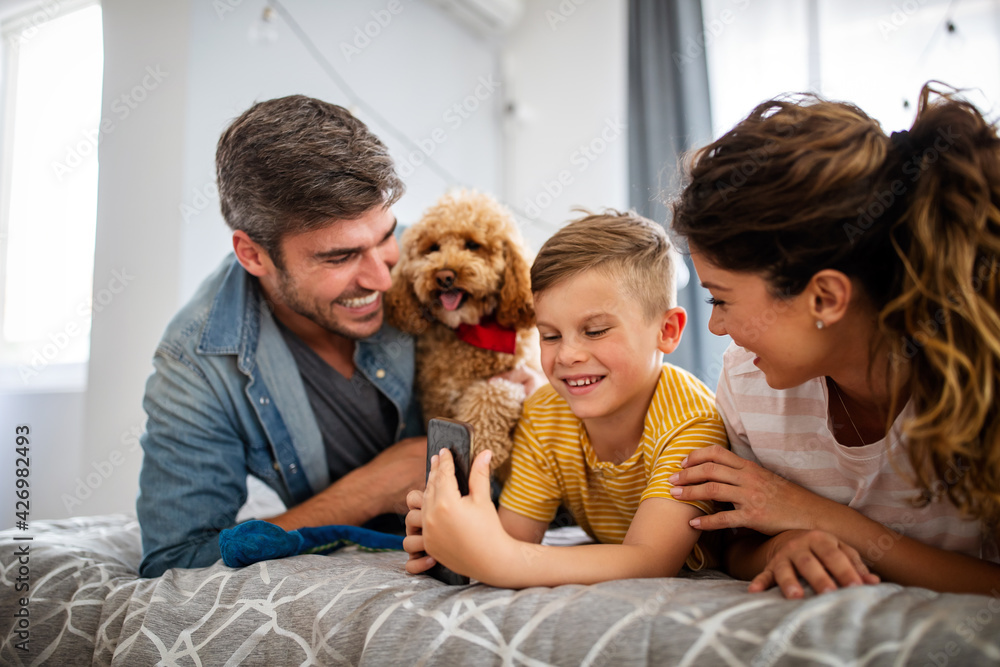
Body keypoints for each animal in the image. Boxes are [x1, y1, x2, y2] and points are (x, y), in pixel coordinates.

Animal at [384, 190, 540, 478]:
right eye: (433, 248)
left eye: (473, 245)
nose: (444, 275)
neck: (468, 331)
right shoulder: (435, 399)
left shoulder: (511, 378)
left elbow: (490, 396)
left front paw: (482, 444)